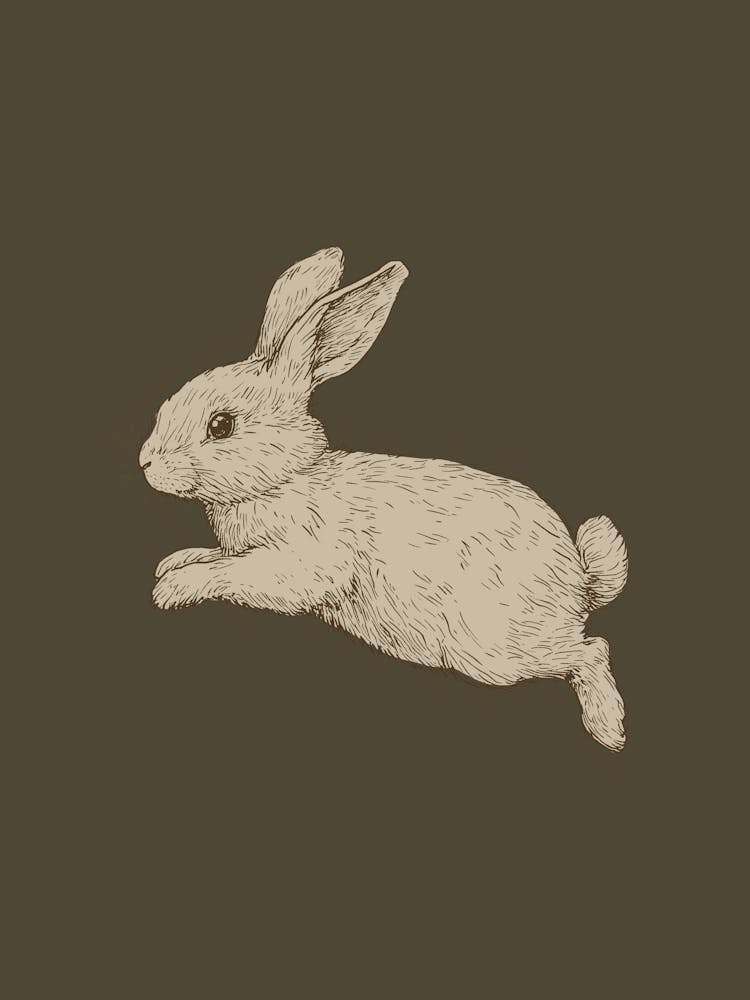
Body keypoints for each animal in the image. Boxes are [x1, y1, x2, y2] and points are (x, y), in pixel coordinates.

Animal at [140, 247, 628, 750]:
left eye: (221, 425)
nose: (145, 463)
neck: (284, 479)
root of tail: (579, 585)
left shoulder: (301, 561)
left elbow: (236, 572)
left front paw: (174, 588)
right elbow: (217, 556)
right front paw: (173, 563)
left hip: (495, 651)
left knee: (591, 649)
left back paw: (609, 729)